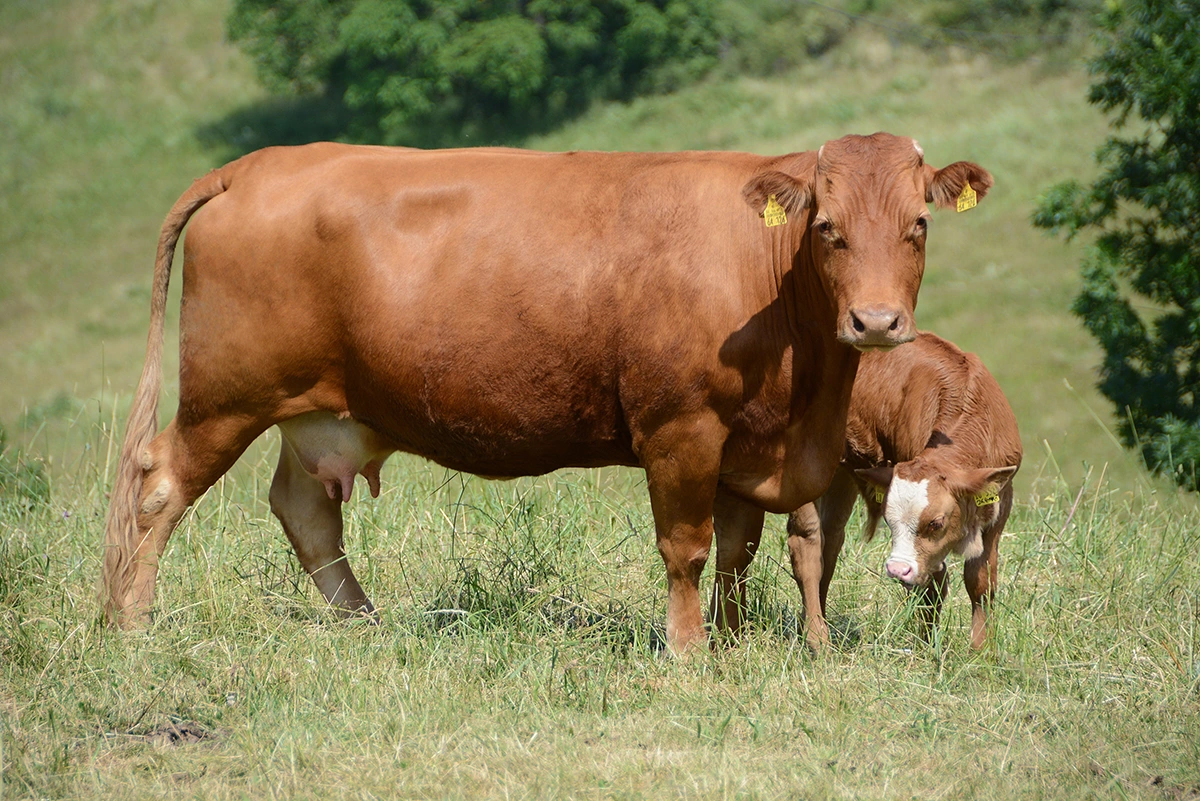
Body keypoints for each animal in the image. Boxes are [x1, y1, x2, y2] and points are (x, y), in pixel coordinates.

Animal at [100, 133, 993, 654]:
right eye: (827, 229)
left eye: (918, 224)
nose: (875, 320)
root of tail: (254, 165)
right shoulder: (682, 430)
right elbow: (689, 547)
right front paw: (688, 655)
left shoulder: (753, 440)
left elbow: (741, 549)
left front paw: (735, 646)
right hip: (227, 395)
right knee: (161, 486)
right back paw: (130, 622)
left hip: (318, 411)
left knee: (304, 511)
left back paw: (367, 626)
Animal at [787, 331, 1021, 651]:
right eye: (889, 520)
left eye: (936, 523)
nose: (897, 569)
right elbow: (932, 586)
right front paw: (926, 646)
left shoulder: (1001, 503)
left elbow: (981, 582)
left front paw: (980, 650)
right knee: (807, 543)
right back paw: (816, 638)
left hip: (838, 472)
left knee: (831, 538)